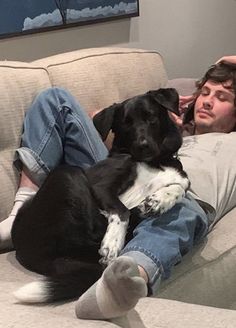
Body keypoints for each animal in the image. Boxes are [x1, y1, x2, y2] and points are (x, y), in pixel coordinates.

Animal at [11, 87, 190, 302]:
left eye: (151, 117)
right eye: (126, 124)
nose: (142, 145)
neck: (155, 161)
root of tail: (31, 254)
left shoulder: (181, 178)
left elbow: (181, 187)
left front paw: (158, 200)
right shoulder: (100, 186)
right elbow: (121, 211)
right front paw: (113, 242)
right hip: (69, 173)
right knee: (101, 224)